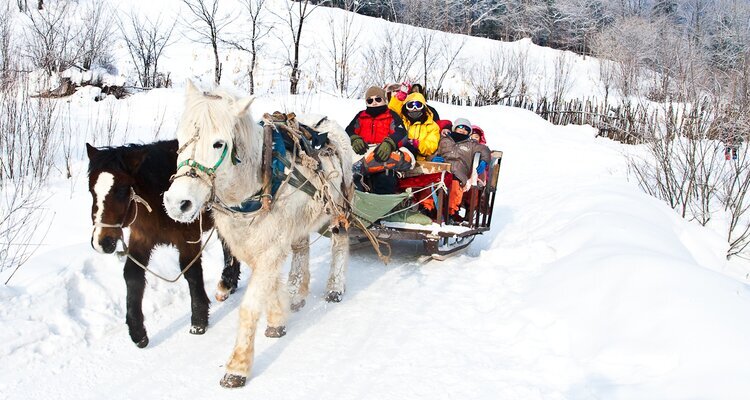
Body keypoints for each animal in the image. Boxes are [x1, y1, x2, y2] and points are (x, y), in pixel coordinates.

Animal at [86, 140, 241, 348]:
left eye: (121, 190)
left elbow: (192, 273)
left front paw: (198, 321)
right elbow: (132, 276)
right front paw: (137, 332)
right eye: (91, 190)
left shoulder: (188, 239)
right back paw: (228, 284)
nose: (102, 242)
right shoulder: (142, 238)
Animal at [163, 81, 353, 388]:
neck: (256, 183)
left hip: (338, 208)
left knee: (339, 242)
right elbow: (271, 285)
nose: (178, 203)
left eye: (219, 143)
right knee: (301, 249)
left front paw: (237, 367)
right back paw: (296, 292)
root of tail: (329, 123)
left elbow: (250, 306)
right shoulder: (252, 245)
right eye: (179, 139)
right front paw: (277, 319)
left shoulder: (270, 247)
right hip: (300, 220)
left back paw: (335, 287)